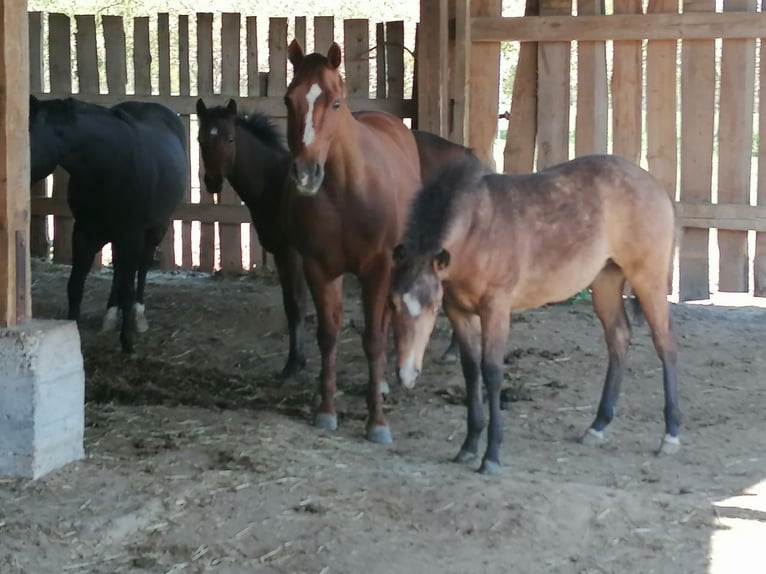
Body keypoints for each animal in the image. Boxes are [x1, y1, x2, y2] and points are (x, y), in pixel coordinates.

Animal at [30, 97, 189, 354]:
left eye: (30, 143)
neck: (107, 167)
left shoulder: (131, 234)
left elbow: (128, 288)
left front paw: (127, 342)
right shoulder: (83, 233)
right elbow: (75, 285)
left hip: (155, 230)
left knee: (141, 268)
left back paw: (138, 316)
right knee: (120, 271)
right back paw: (111, 315)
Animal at [196, 97, 308, 380]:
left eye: (230, 138)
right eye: (201, 139)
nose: (213, 182)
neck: (278, 183)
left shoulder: (292, 255)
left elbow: (296, 305)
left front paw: (293, 364)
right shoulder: (282, 255)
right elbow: (291, 305)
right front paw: (298, 361)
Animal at [284, 41, 424, 446]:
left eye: (334, 103)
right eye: (288, 100)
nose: (305, 174)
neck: (345, 193)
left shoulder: (378, 269)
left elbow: (373, 339)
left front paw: (377, 421)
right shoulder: (319, 268)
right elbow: (328, 335)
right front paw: (326, 408)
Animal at [392, 155, 680, 474]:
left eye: (432, 307)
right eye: (393, 304)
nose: (406, 374)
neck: (477, 228)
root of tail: (656, 186)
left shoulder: (495, 308)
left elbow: (492, 372)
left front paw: (491, 455)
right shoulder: (460, 311)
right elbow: (471, 370)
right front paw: (468, 446)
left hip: (648, 279)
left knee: (665, 343)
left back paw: (671, 433)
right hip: (606, 280)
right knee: (619, 336)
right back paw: (598, 426)